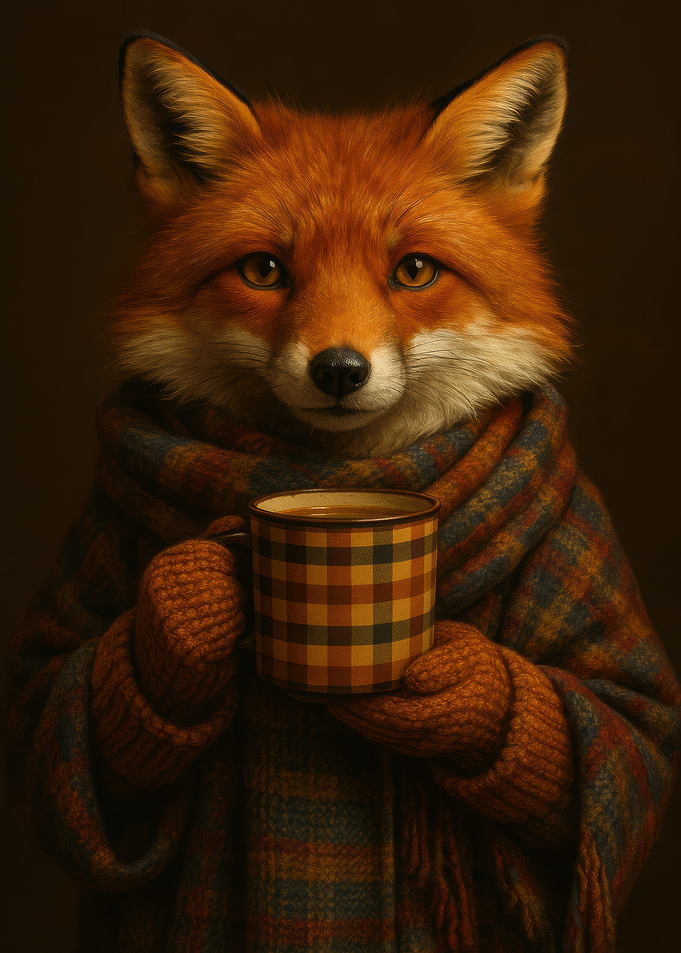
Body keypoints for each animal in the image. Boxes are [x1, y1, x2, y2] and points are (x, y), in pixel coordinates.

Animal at [7, 29, 680, 953]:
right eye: (263, 270)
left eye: (413, 271)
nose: (337, 370)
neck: (339, 480)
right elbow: (51, 705)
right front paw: (187, 608)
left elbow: (627, 726)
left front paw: (458, 689)